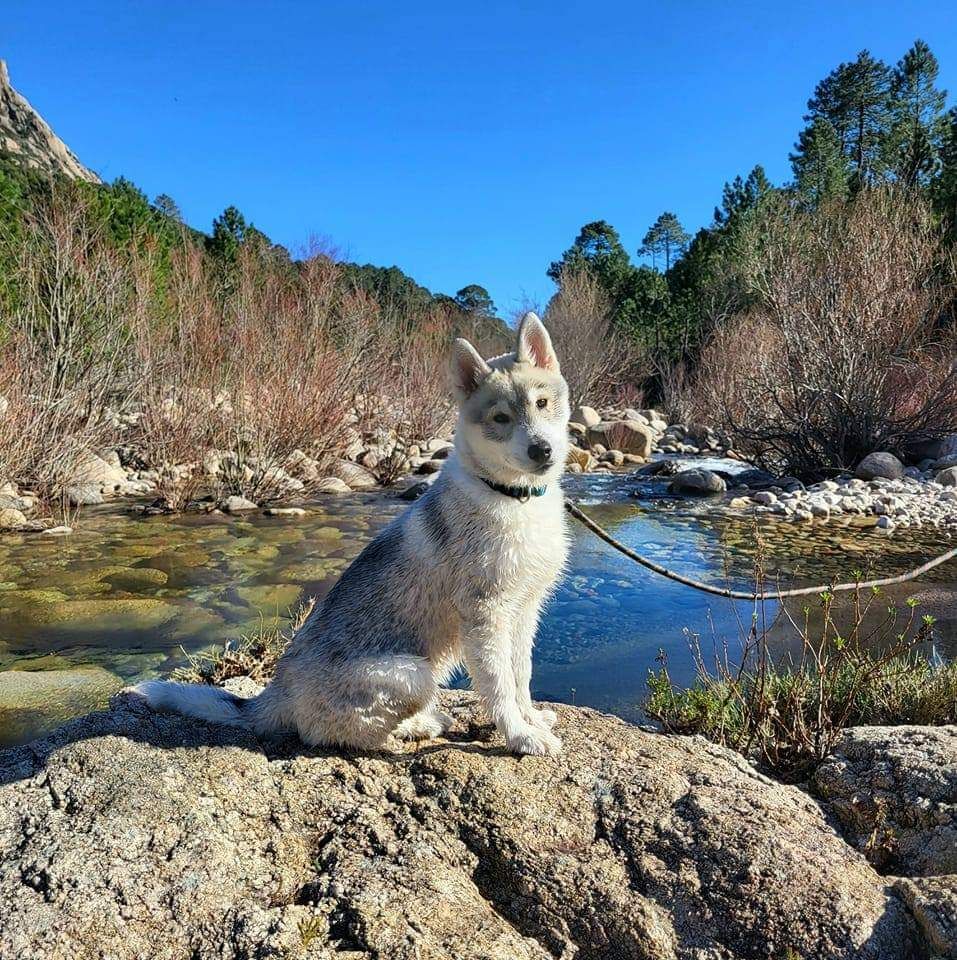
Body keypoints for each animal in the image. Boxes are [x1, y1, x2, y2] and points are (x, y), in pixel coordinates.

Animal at [132, 316, 572, 756]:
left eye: (542, 403)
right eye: (500, 418)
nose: (542, 451)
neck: (512, 497)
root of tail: (274, 693)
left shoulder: (525, 610)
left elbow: (521, 676)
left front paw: (532, 720)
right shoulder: (486, 614)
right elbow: (499, 687)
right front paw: (520, 736)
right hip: (411, 672)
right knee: (330, 732)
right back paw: (413, 728)